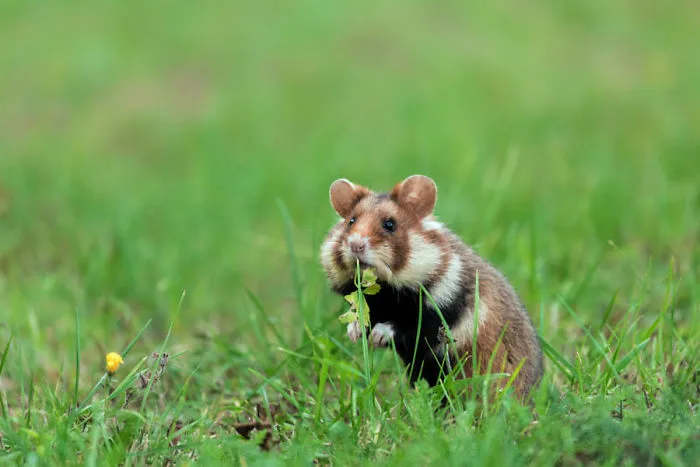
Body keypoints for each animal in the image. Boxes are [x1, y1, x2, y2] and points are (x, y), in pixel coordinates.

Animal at [320, 175, 543, 399]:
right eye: (351, 221)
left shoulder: (445, 310)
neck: (388, 291)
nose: (355, 245)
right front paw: (354, 332)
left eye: (390, 224)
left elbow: (413, 326)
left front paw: (378, 336)